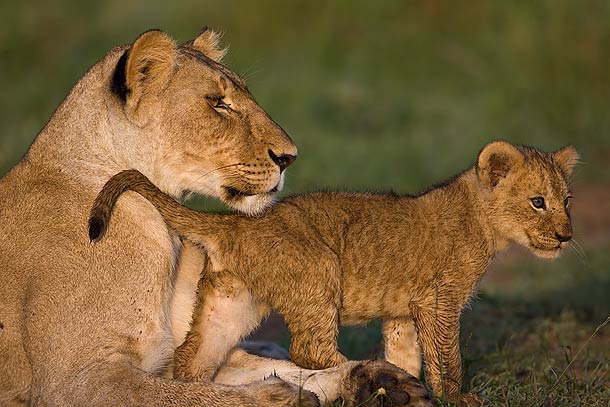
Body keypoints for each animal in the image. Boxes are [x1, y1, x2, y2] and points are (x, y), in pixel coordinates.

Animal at [88, 140, 576, 404]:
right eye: (538, 202)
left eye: (566, 200)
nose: (566, 235)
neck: (482, 221)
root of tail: (238, 223)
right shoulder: (439, 299)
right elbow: (447, 356)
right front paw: (452, 396)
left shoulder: (404, 311)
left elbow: (409, 352)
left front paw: (411, 384)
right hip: (318, 269)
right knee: (309, 350)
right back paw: (360, 375)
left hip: (233, 300)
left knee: (193, 358)